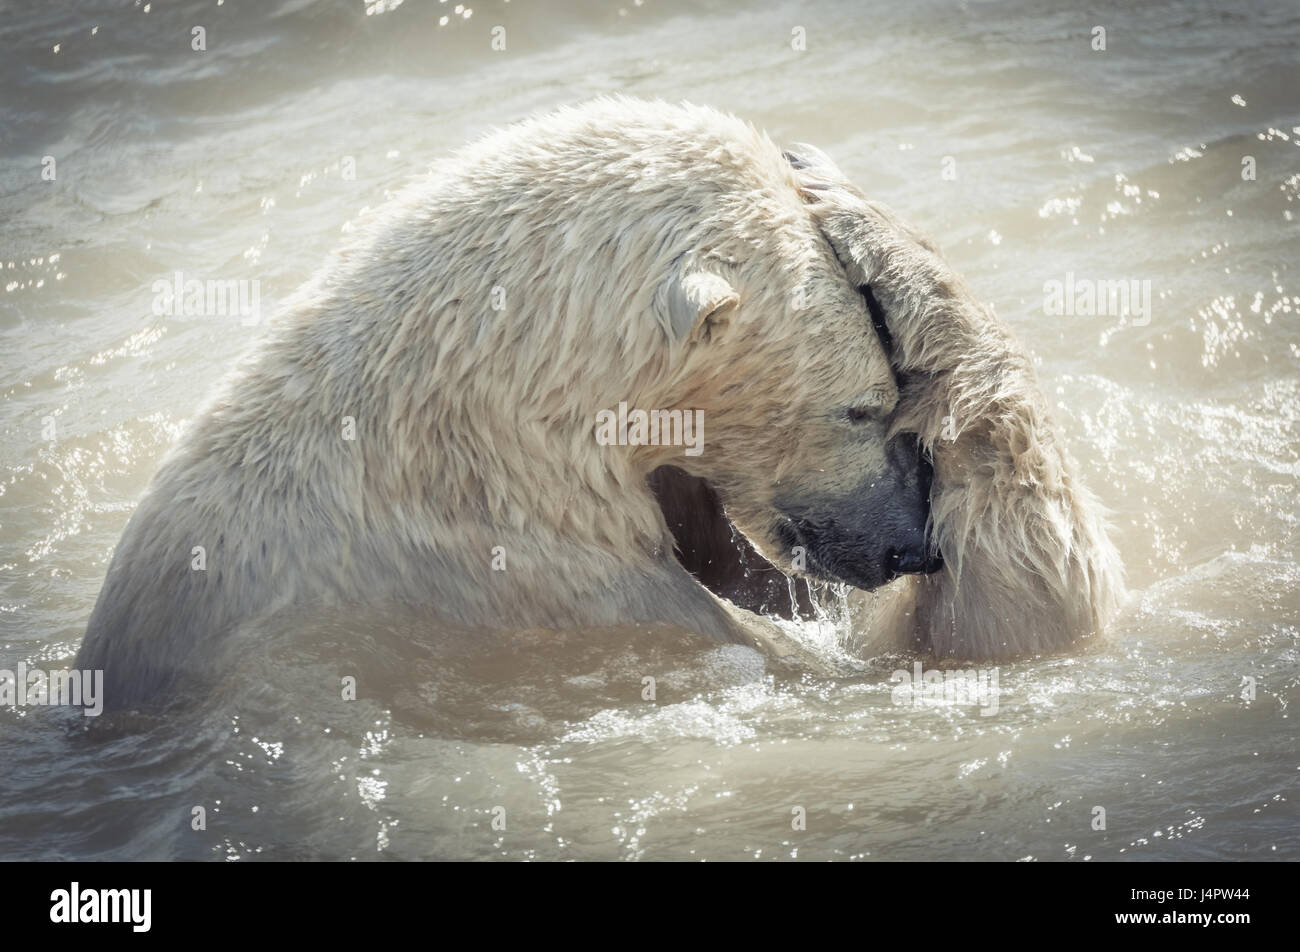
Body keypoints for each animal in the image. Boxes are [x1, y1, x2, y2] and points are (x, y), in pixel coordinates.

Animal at [77, 97, 1118, 708]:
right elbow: (979, 643)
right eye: (863, 408)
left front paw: (839, 188)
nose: (913, 546)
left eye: (888, 400)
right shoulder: (565, 592)